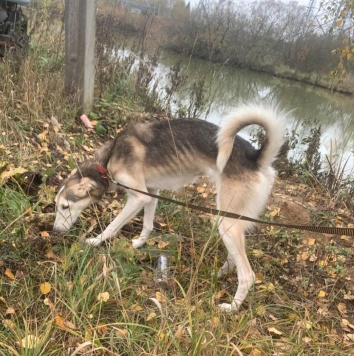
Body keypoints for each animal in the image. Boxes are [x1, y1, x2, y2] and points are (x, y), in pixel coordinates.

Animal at [54, 103, 288, 312]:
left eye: (65, 206)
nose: (55, 231)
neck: (108, 159)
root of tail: (255, 158)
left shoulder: (138, 197)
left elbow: (112, 226)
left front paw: (95, 241)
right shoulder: (151, 193)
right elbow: (147, 225)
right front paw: (139, 244)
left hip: (227, 224)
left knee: (247, 275)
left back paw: (231, 307)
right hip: (231, 222)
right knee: (234, 258)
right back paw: (219, 275)